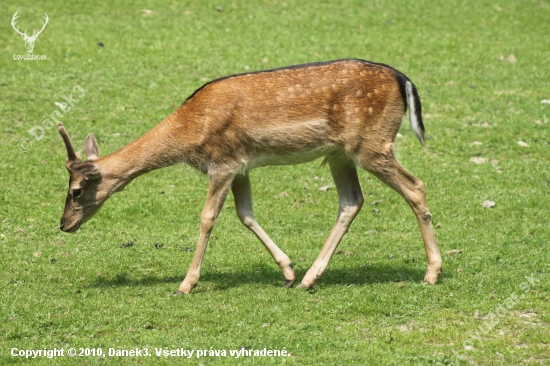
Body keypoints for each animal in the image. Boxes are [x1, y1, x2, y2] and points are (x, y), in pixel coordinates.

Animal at [57, 59, 444, 294]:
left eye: (76, 190)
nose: (63, 224)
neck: (187, 131)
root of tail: (403, 80)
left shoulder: (222, 162)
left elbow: (207, 218)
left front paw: (185, 284)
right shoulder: (241, 166)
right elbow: (245, 215)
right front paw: (287, 271)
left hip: (372, 143)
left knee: (416, 186)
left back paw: (432, 273)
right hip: (340, 153)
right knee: (351, 202)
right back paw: (308, 278)